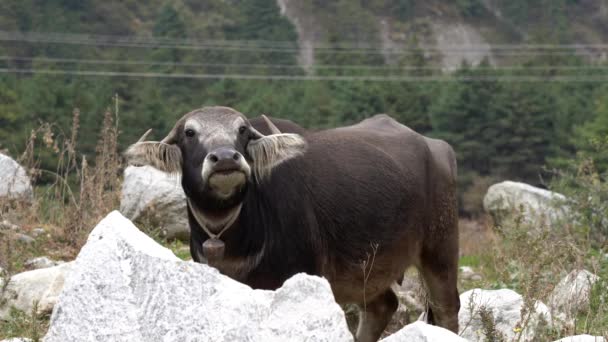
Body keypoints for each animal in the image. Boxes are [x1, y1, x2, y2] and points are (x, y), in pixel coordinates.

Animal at [126, 105, 458, 340]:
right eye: (189, 133)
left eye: (241, 130)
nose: (225, 158)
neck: (237, 237)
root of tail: (438, 148)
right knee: (382, 306)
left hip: (440, 250)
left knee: (446, 309)